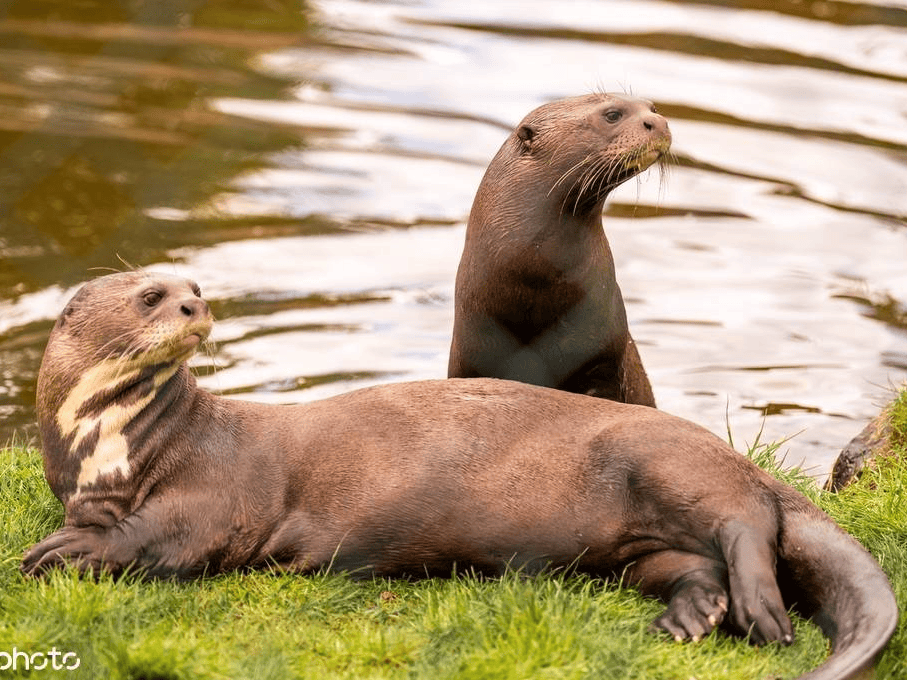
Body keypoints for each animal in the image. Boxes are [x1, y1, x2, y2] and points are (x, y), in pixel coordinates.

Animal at [23, 270, 900, 680]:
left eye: (193, 288)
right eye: (150, 295)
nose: (194, 308)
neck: (109, 446)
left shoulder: (217, 490)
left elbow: (162, 536)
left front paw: (60, 555)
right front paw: (69, 539)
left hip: (668, 462)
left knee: (747, 524)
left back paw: (764, 616)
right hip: (630, 550)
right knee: (692, 564)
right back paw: (688, 619)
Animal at [446, 93, 668, 406]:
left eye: (652, 107)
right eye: (612, 114)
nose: (660, 122)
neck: (535, 281)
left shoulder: (603, 358)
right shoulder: (471, 357)